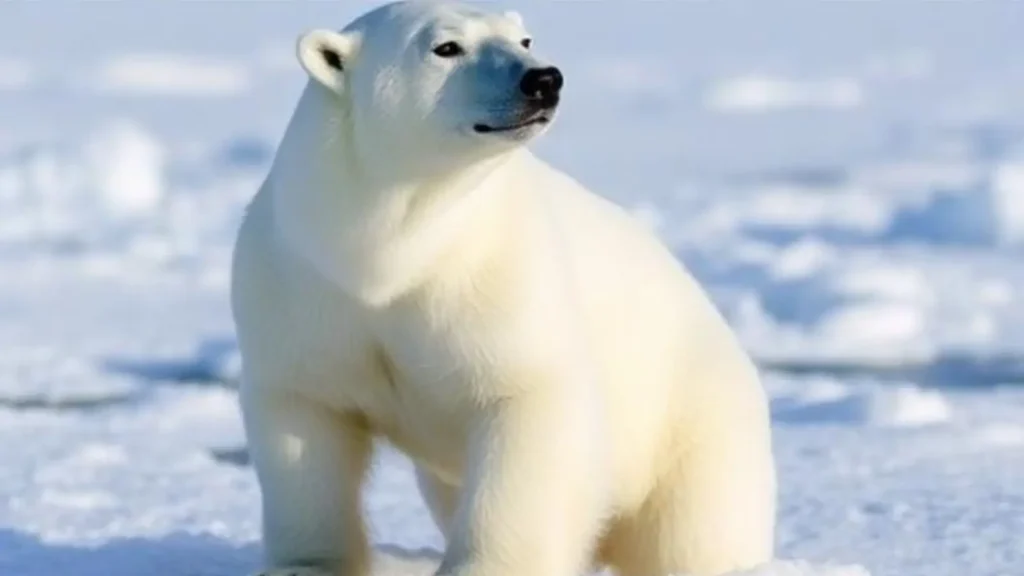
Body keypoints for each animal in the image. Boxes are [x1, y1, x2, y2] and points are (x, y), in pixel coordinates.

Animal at [230, 1, 777, 575]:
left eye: (524, 39)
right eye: (446, 47)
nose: (543, 80)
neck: (388, 253)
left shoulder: (497, 276)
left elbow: (525, 402)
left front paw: (486, 566)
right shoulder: (301, 285)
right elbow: (306, 422)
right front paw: (305, 564)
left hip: (691, 427)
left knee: (694, 531)